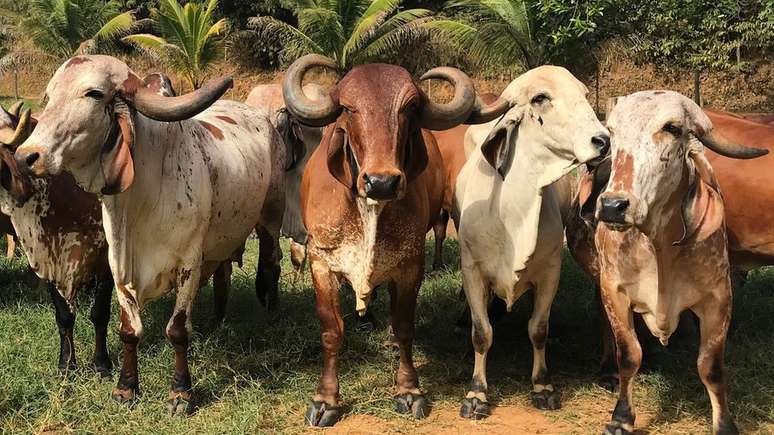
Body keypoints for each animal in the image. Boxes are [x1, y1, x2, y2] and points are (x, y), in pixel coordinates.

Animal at [15, 54, 286, 414]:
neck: (142, 201)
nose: (26, 156)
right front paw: (126, 388)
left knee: (270, 266)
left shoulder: (188, 265)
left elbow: (177, 329)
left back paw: (271, 315)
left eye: (93, 93)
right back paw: (217, 322)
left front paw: (181, 392)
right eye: (49, 95)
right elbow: (128, 329)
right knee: (223, 275)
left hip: (270, 218)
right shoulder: (118, 266)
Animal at [281, 54, 509, 426]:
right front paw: (326, 400)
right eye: (348, 107)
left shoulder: (409, 267)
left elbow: (404, 327)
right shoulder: (322, 264)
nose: (382, 181)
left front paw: (408, 390)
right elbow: (331, 331)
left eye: (410, 107)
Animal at [454, 66, 609, 419]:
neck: (510, 217)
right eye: (540, 98)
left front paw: (542, 387)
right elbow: (481, 333)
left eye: (583, 93)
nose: (603, 140)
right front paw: (477, 393)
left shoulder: (551, 270)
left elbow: (538, 329)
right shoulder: (472, 270)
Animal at [587, 91, 767, 435]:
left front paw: (725, 424)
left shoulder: (718, 299)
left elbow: (711, 367)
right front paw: (621, 418)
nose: (613, 206)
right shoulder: (613, 290)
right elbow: (629, 354)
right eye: (613, 131)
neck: (659, 248)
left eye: (672, 127)